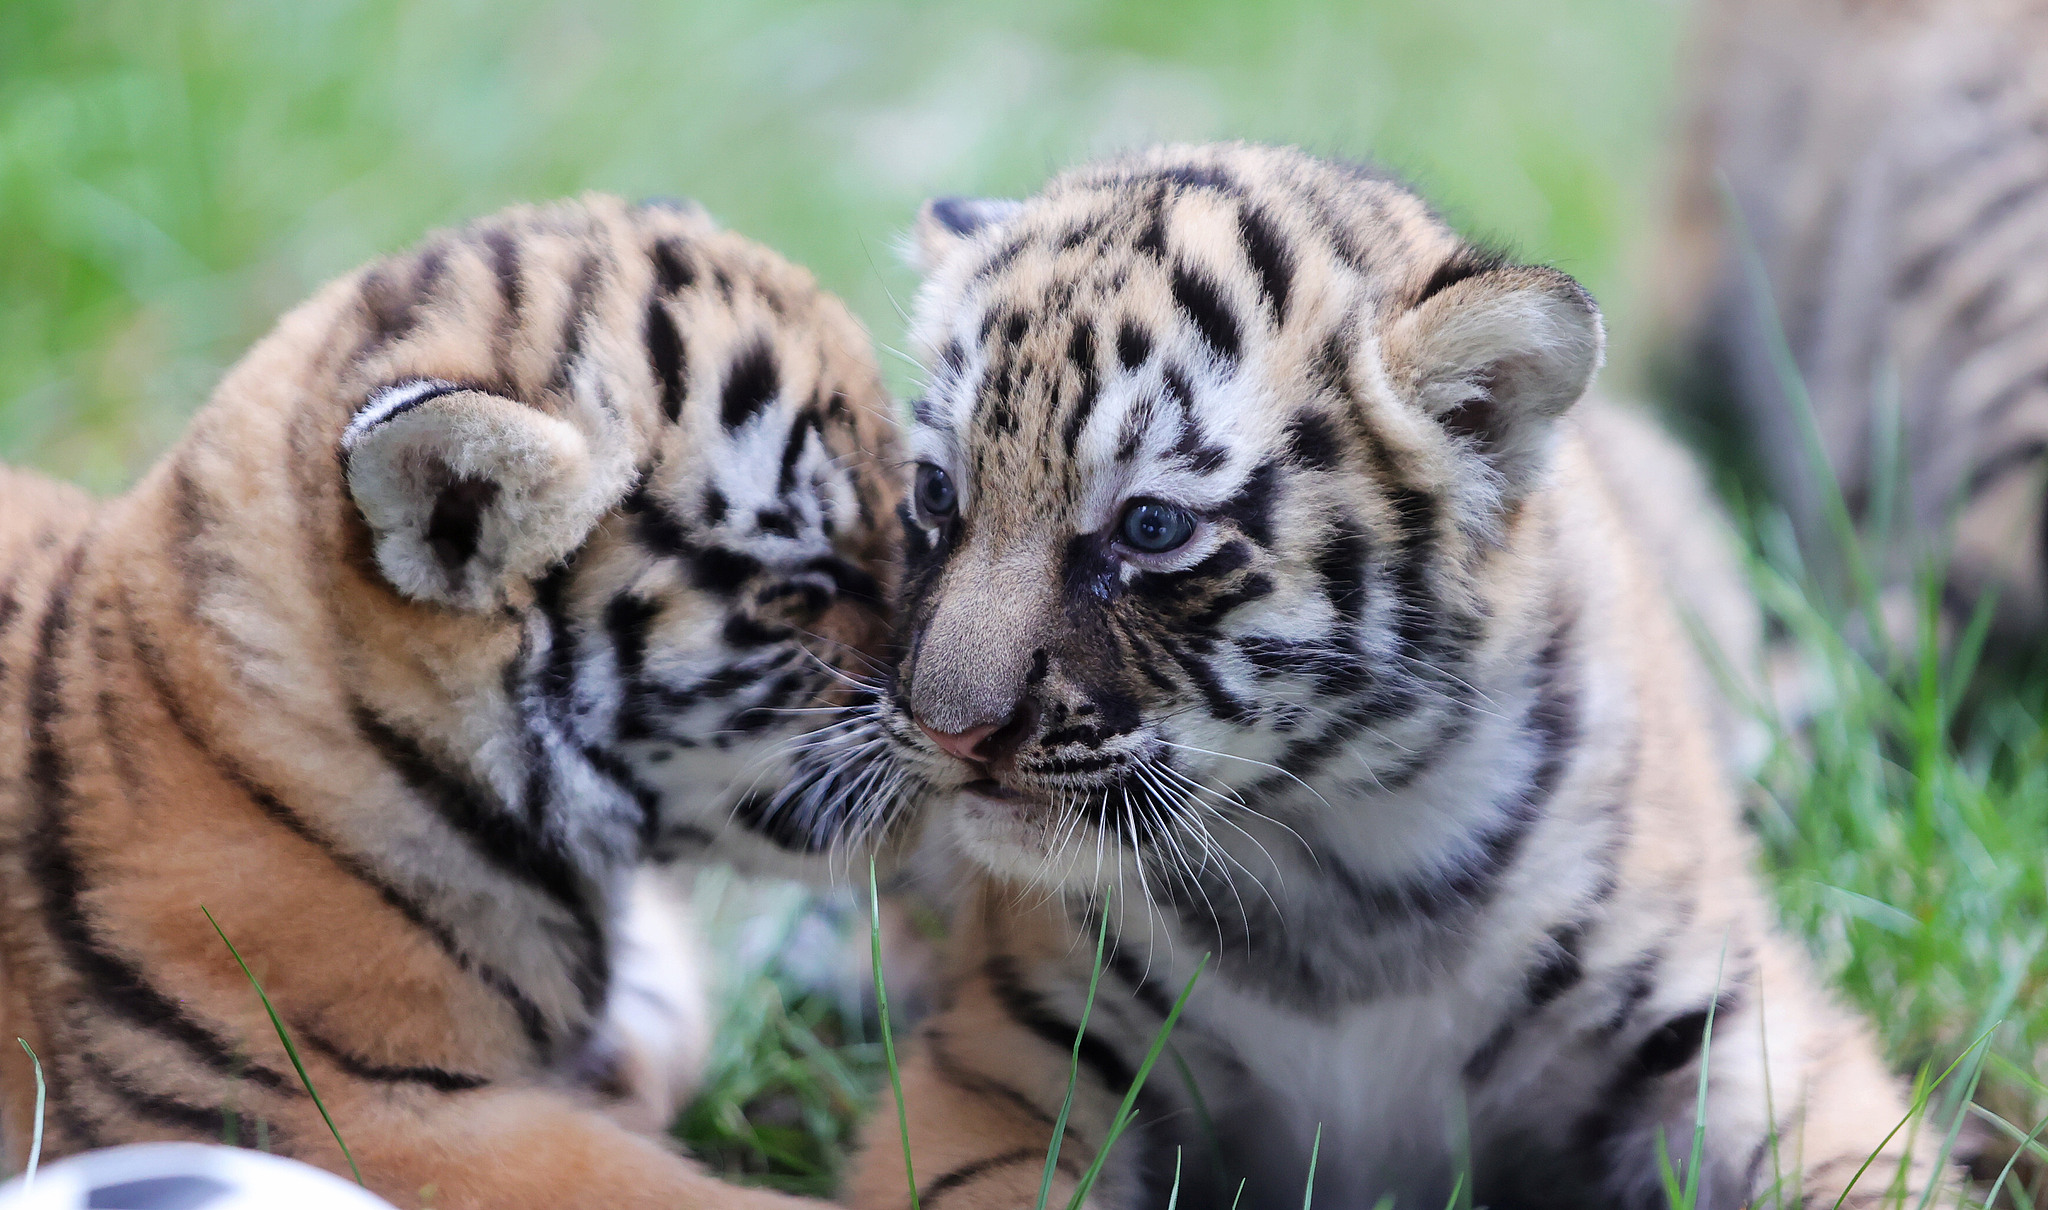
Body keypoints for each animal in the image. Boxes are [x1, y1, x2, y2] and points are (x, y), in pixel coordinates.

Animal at [792, 143, 1941, 1209]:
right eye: (938, 494)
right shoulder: (1009, 1047)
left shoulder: (1724, 1022)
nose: (950, 731)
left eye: (1150, 526)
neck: (1338, 861)